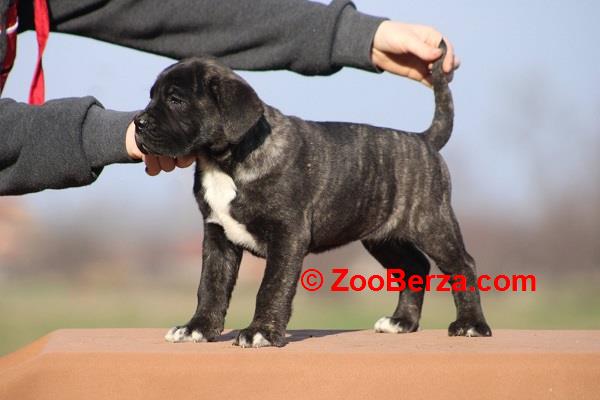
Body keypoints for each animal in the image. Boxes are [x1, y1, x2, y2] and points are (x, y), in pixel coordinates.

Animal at [134, 39, 490, 346]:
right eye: (152, 97)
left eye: (176, 100)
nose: (138, 122)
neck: (224, 161)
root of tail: (423, 139)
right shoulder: (217, 236)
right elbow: (211, 286)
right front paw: (197, 328)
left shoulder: (287, 235)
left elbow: (272, 287)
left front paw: (261, 332)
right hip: (383, 237)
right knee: (414, 267)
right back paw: (402, 322)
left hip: (431, 223)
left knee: (463, 265)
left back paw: (471, 324)